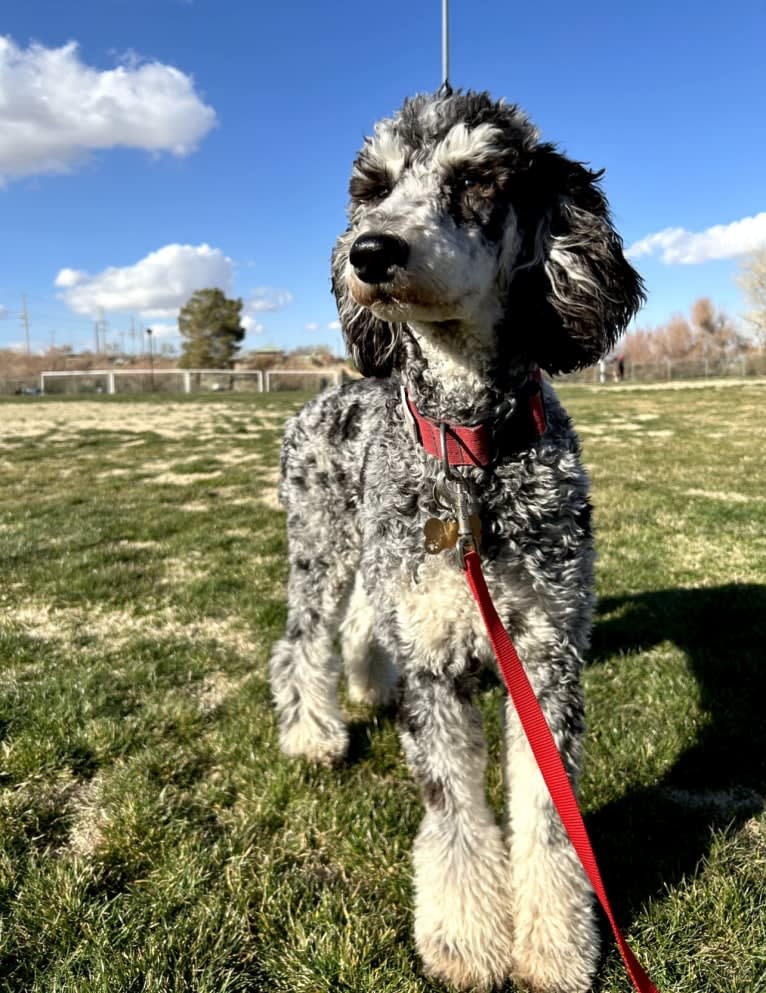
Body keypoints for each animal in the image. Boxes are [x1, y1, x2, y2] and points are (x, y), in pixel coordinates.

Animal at [270, 89, 648, 988]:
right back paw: (313, 735)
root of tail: (324, 395)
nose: (369, 250)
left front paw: (555, 947)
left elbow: (548, 819)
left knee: (362, 628)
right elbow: (455, 817)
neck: (471, 460)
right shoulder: (438, 667)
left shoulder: (545, 658)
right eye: (372, 188)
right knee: (300, 642)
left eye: (477, 178)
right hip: (322, 549)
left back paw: (369, 688)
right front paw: (467, 943)